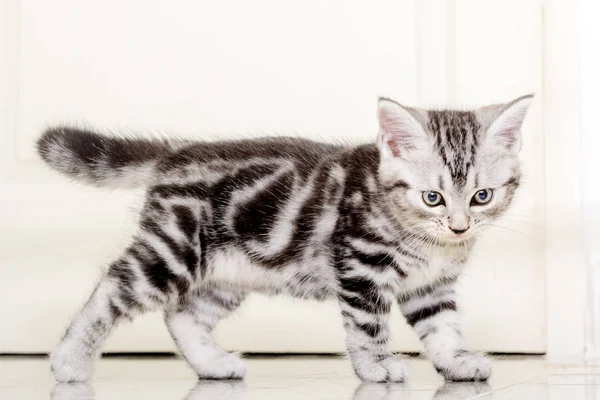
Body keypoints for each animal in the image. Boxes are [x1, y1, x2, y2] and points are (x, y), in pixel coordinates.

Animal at [37, 95, 532, 382]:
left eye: (482, 196)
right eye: (433, 197)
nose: (459, 226)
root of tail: (180, 152)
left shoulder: (431, 286)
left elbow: (443, 327)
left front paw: (457, 362)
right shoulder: (360, 267)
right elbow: (368, 326)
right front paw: (375, 367)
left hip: (228, 273)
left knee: (181, 316)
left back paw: (213, 365)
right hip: (173, 251)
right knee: (113, 288)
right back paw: (70, 360)